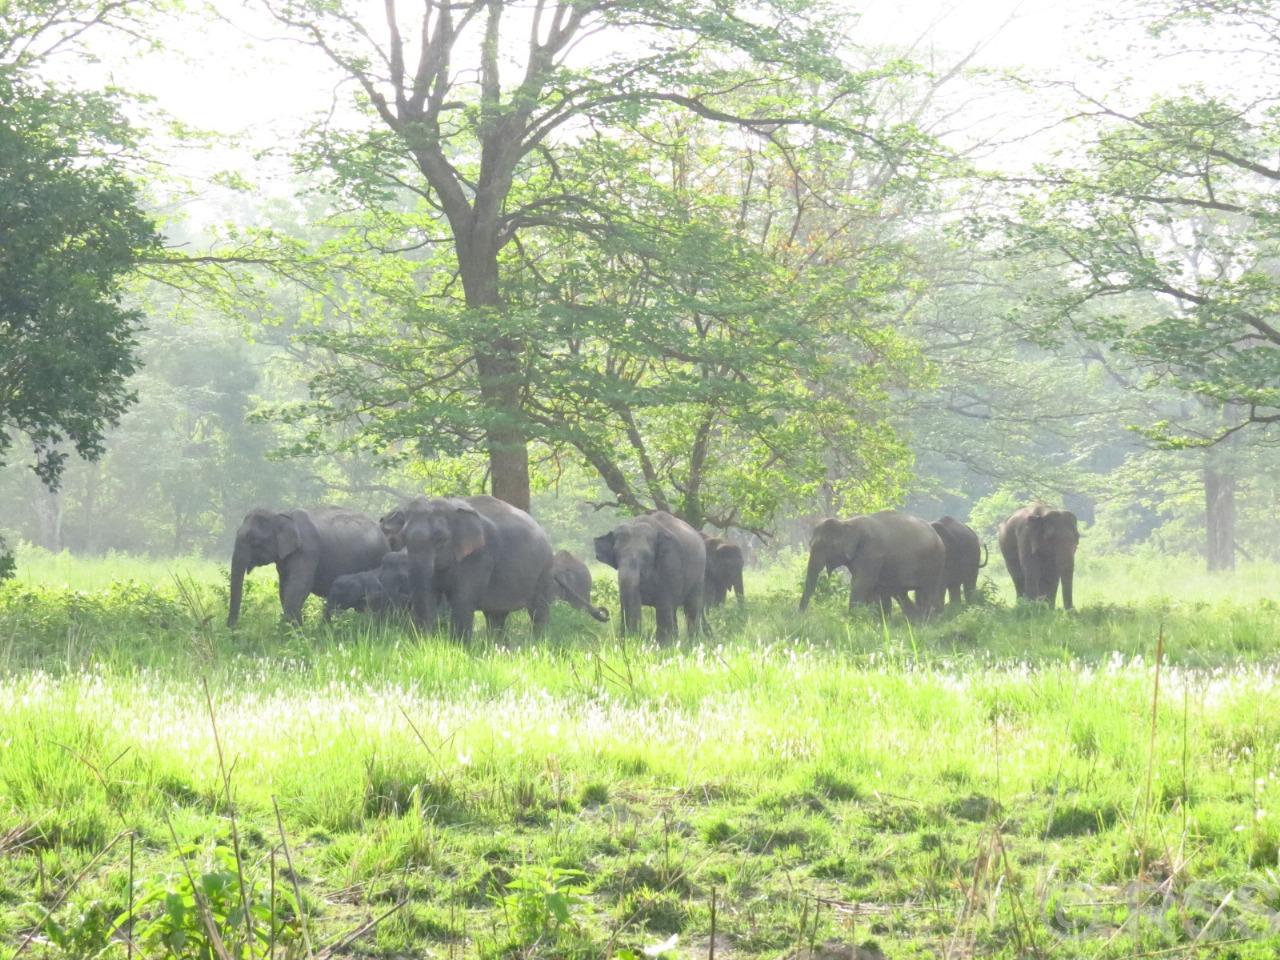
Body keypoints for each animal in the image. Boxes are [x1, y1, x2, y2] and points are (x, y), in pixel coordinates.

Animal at [226, 506, 384, 627]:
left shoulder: (307, 551)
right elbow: (284, 587)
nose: (233, 629)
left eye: (255, 541)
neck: (280, 514)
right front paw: (297, 629)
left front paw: (289, 631)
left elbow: (299, 586)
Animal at [376, 491, 552, 642]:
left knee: (538, 610)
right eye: (404, 537)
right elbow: (429, 595)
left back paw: (537, 642)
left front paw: (459, 648)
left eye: (440, 538)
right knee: (496, 615)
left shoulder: (480, 555)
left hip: (545, 569)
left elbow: (462, 600)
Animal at [591, 512, 706, 647]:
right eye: (616, 554)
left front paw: (663, 647)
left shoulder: (670, 563)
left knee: (691, 607)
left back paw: (693, 644)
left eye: (646, 556)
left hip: (699, 575)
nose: (605, 614)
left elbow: (664, 603)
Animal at [798, 512, 952, 624]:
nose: (800, 615)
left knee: (927, 591)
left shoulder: (871, 553)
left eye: (827, 546)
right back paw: (914, 620)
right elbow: (869, 587)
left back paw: (925, 622)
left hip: (935, 562)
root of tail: (937, 535)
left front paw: (853, 621)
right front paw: (875, 621)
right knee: (901, 593)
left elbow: (861, 584)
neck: (847, 522)